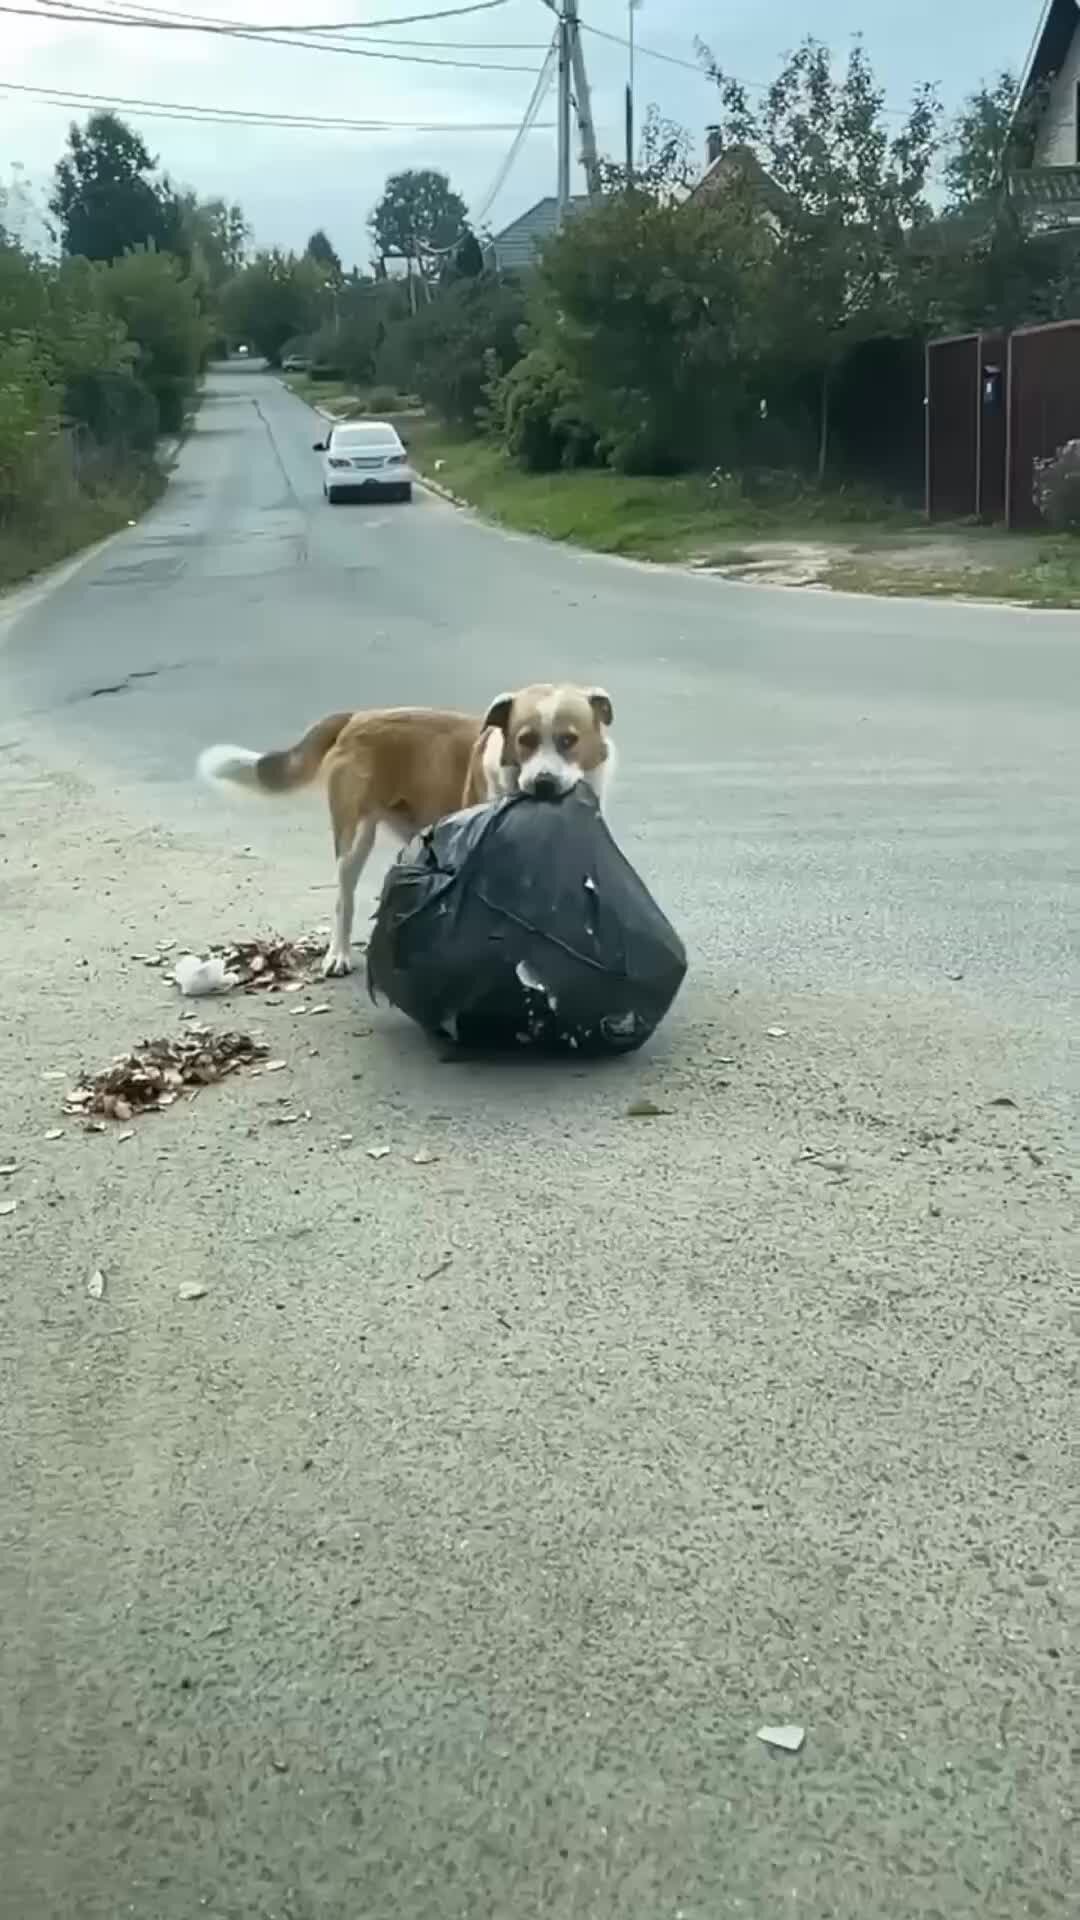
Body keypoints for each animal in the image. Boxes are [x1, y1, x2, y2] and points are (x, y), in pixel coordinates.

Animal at [196, 687, 611, 975]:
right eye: (525, 740)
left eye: (569, 740)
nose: (544, 783)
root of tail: (358, 716)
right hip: (354, 837)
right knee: (343, 897)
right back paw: (338, 954)